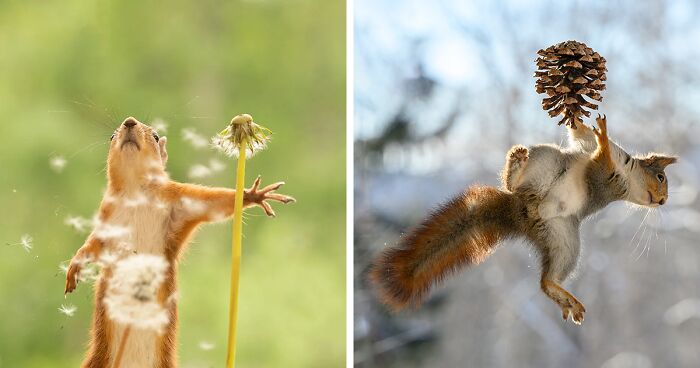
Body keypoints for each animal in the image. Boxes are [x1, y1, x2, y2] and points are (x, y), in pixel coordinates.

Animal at [64, 116, 294, 366]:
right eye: (112, 137)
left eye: (155, 136)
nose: (129, 121)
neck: (136, 192)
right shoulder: (107, 220)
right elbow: (93, 244)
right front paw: (74, 267)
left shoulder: (180, 201)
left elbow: (214, 203)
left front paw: (254, 195)